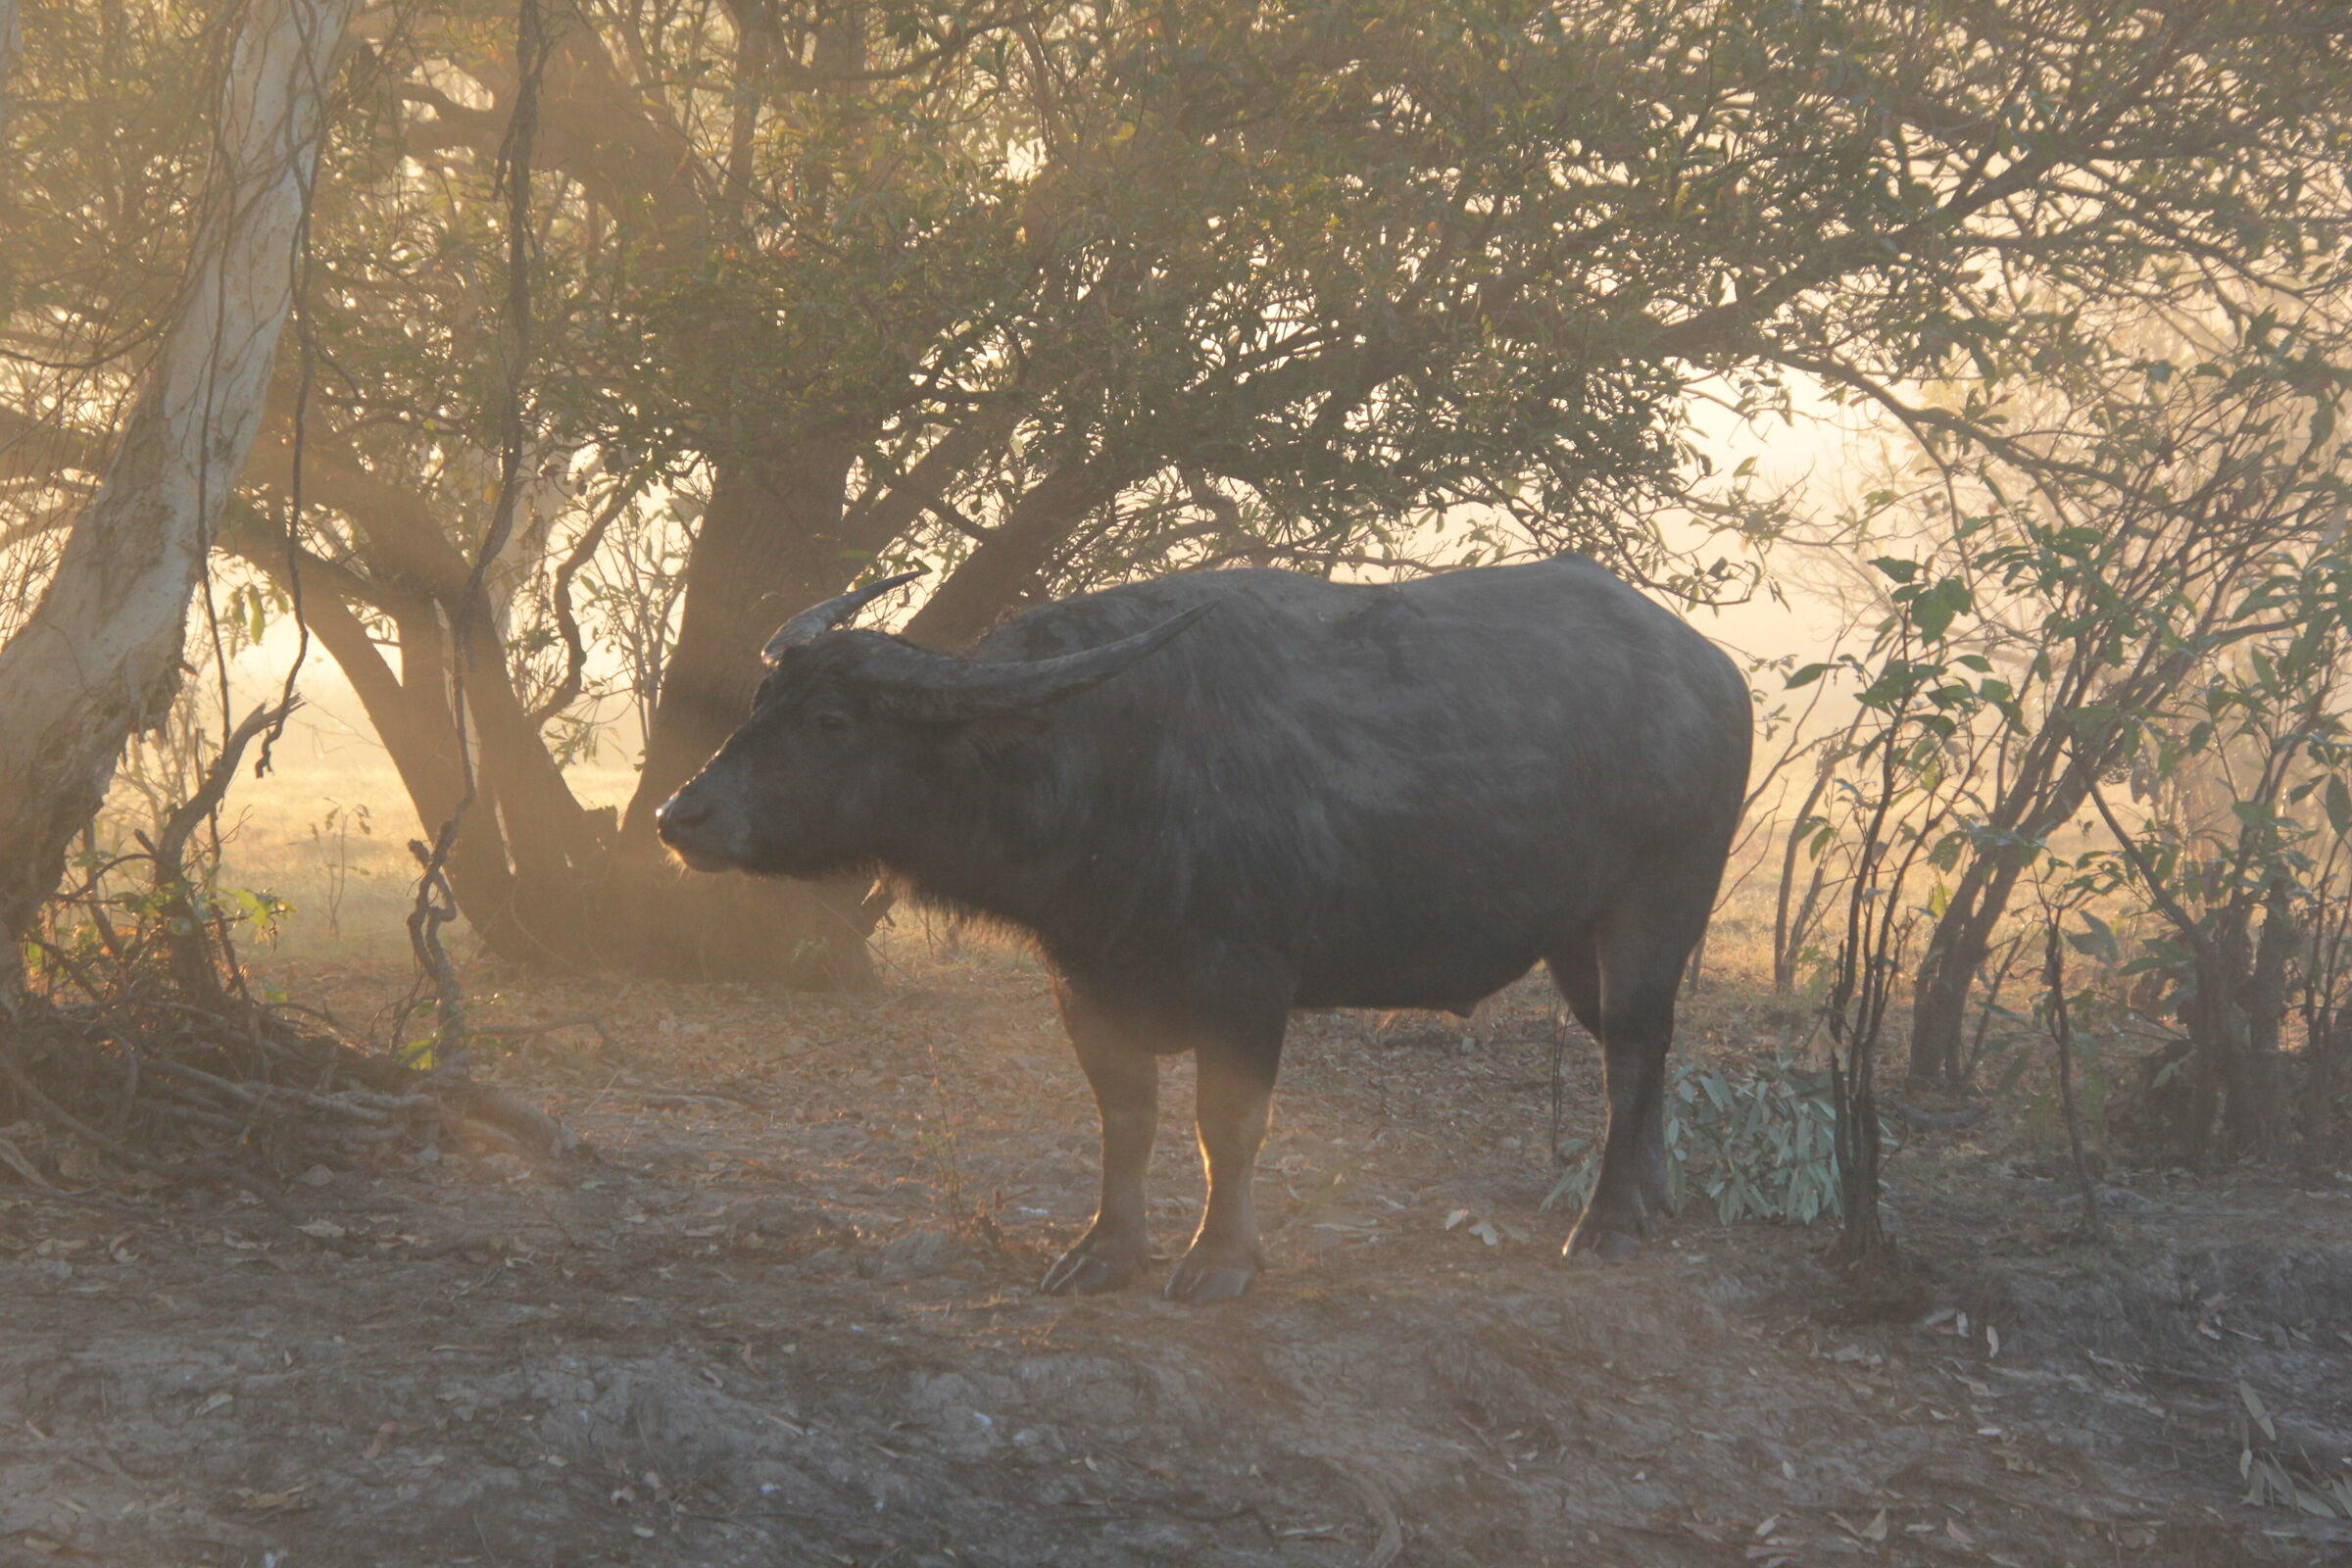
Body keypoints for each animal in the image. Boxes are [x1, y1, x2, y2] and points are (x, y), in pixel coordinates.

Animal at [657, 556, 1751, 1302]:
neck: (1115, 762)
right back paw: (1649, 1196)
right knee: (1634, 1048)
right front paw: (1106, 1250)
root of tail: (1714, 673)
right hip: (1574, 936)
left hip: (1657, 905)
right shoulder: (1082, 986)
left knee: (1633, 1045)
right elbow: (1127, 1121)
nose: (682, 815)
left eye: (835, 721)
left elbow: (1227, 1127)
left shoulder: (1249, 991)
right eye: (764, 698)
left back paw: (1608, 1222)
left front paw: (1220, 1259)